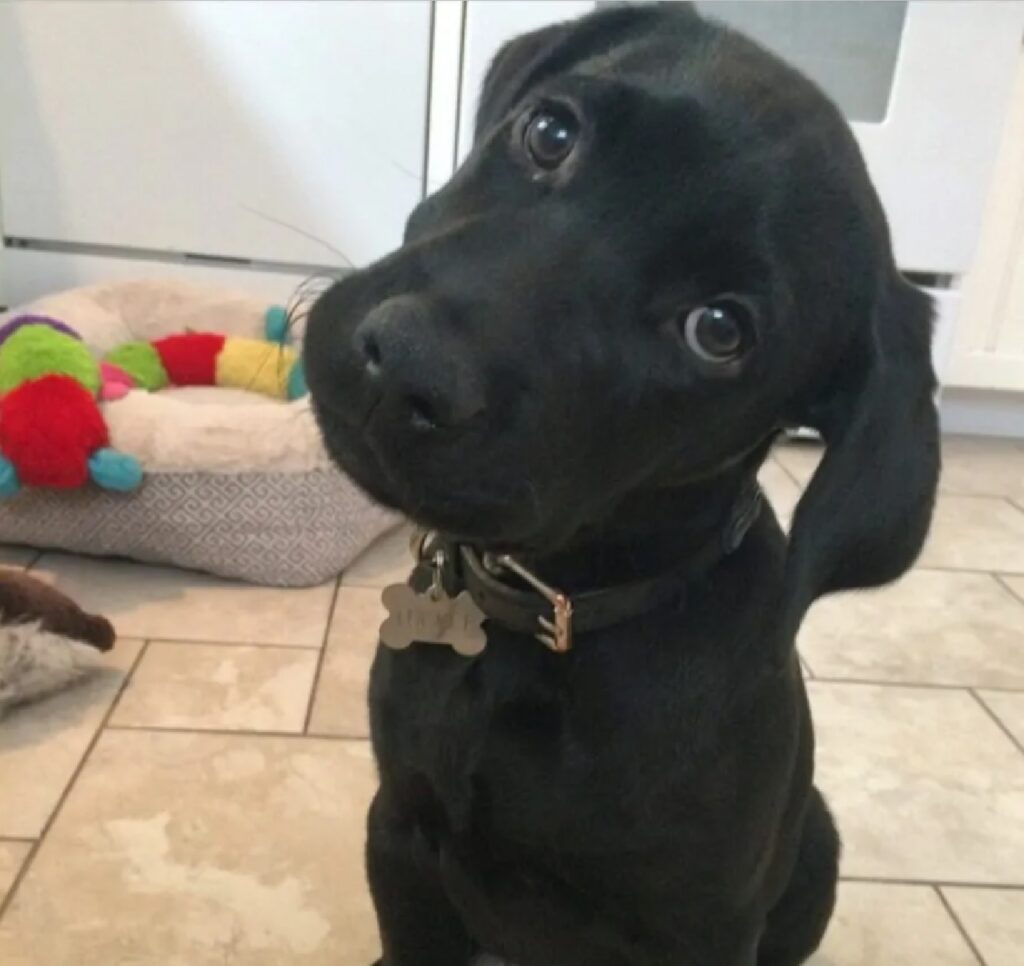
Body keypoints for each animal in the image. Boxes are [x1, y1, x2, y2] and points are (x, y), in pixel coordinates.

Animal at [301, 3, 937, 962]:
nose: (406, 365)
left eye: (720, 329)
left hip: (818, 846)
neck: (549, 615)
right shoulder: (401, 827)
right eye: (549, 131)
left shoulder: (702, 926)